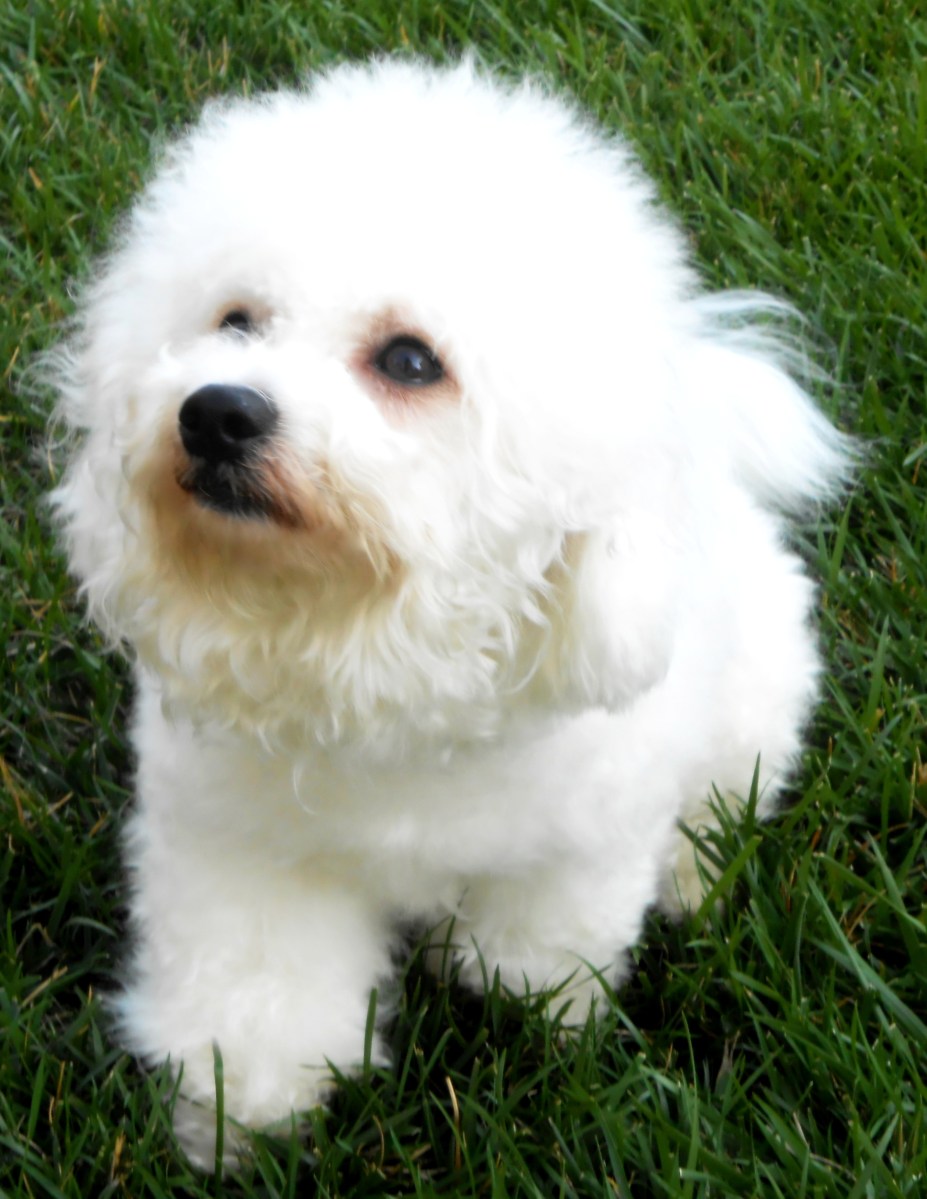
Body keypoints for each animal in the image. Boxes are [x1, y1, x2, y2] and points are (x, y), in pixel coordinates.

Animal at [50, 57, 848, 1166]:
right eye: (235, 321)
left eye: (409, 360)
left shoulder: (580, 843)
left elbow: (534, 958)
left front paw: (538, 1028)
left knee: (728, 791)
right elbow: (255, 997)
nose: (215, 411)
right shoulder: (242, 853)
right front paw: (238, 1117)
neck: (376, 650)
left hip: (755, 697)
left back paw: (690, 876)